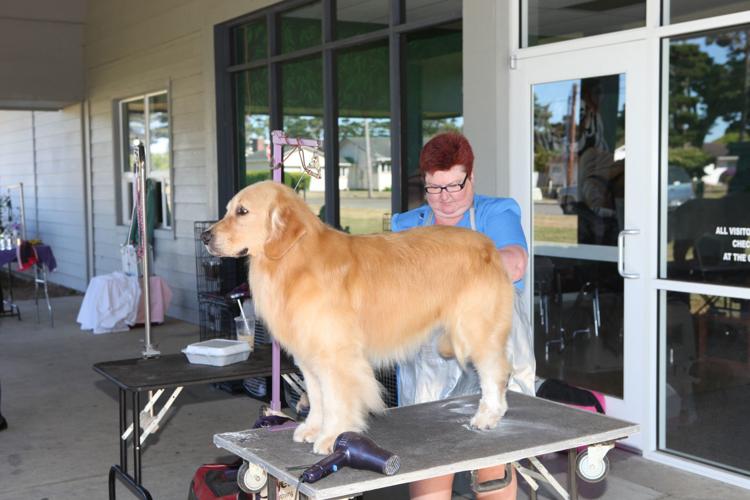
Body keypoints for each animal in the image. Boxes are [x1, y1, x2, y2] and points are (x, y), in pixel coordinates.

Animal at [203, 182, 516, 456]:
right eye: (228, 209)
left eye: (242, 211)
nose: (205, 236)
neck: (293, 260)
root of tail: (489, 246)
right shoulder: (309, 357)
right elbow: (317, 397)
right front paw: (313, 428)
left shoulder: (336, 355)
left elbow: (337, 400)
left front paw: (332, 436)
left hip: (475, 329)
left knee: (496, 372)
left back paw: (488, 415)